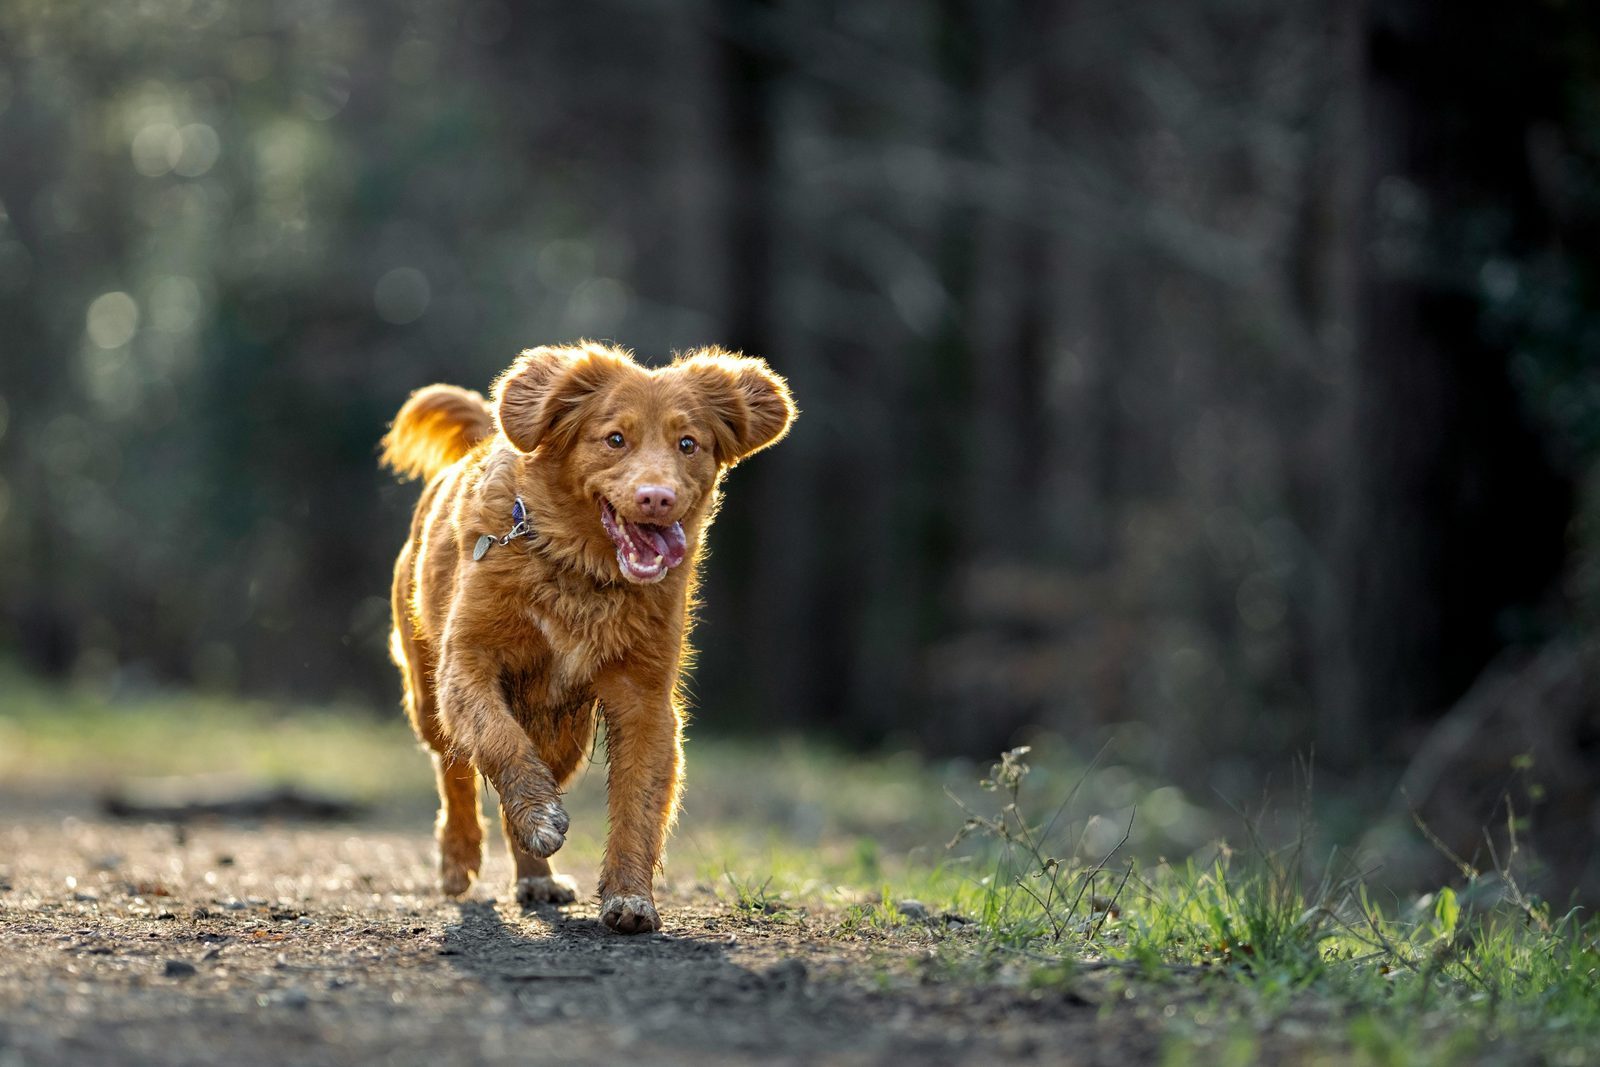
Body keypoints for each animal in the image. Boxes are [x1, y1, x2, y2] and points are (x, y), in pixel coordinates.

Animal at [382, 343, 793, 934]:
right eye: (615, 439)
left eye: (687, 443)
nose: (656, 498)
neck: (582, 571)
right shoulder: (468, 664)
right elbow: (497, 740)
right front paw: (538, 815)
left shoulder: (644, 698)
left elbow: (639, 801)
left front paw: (630, 896)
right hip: (425, 691)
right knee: (454, 768)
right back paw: (459, 857)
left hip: (566, 733)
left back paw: (536, 876)